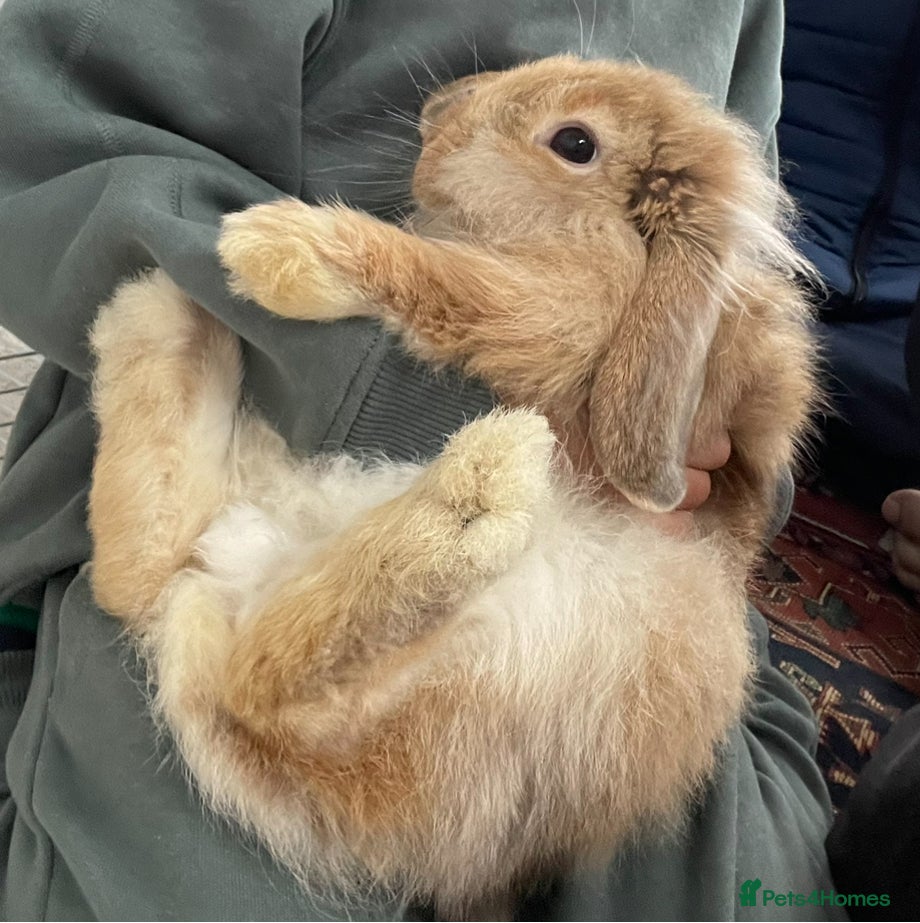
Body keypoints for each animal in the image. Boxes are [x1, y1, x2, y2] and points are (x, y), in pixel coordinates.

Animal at [87, 55, 817, 919]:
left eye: (576, 142)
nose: (438, 114)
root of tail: (224, 582)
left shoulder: (565, 310)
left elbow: (456, 283)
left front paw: (277, 247)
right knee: (139, 580)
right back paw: (152, 320)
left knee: (256, 684)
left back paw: (479, 493)